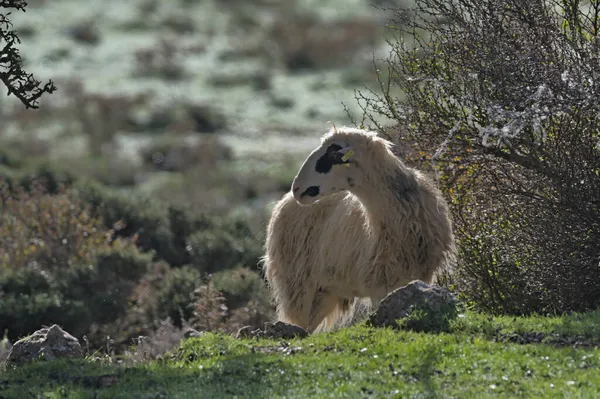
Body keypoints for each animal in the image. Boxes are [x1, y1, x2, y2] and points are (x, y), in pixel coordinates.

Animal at [262, 126, 454, 332]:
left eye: (333, 153)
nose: (297, 188)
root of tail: (283, 201)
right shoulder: (379, 287)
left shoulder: (419, 277)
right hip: (298, 285)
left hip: (324, 292)